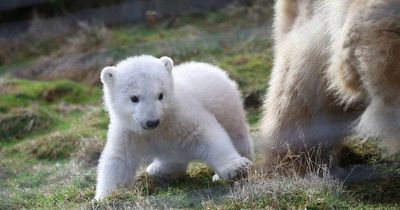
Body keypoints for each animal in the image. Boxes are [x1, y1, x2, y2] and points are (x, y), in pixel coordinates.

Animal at [95, 55, 253, 200]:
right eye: (134, 98)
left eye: (160, 95)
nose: (152, 121)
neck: (158, 129)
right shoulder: (129, 132)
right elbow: (119, 158)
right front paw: (105, 196)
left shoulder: (180, 116)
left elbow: (205, 133)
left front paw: (235, 166)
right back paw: (159, 170)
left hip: (228, 108)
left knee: (236, 135)